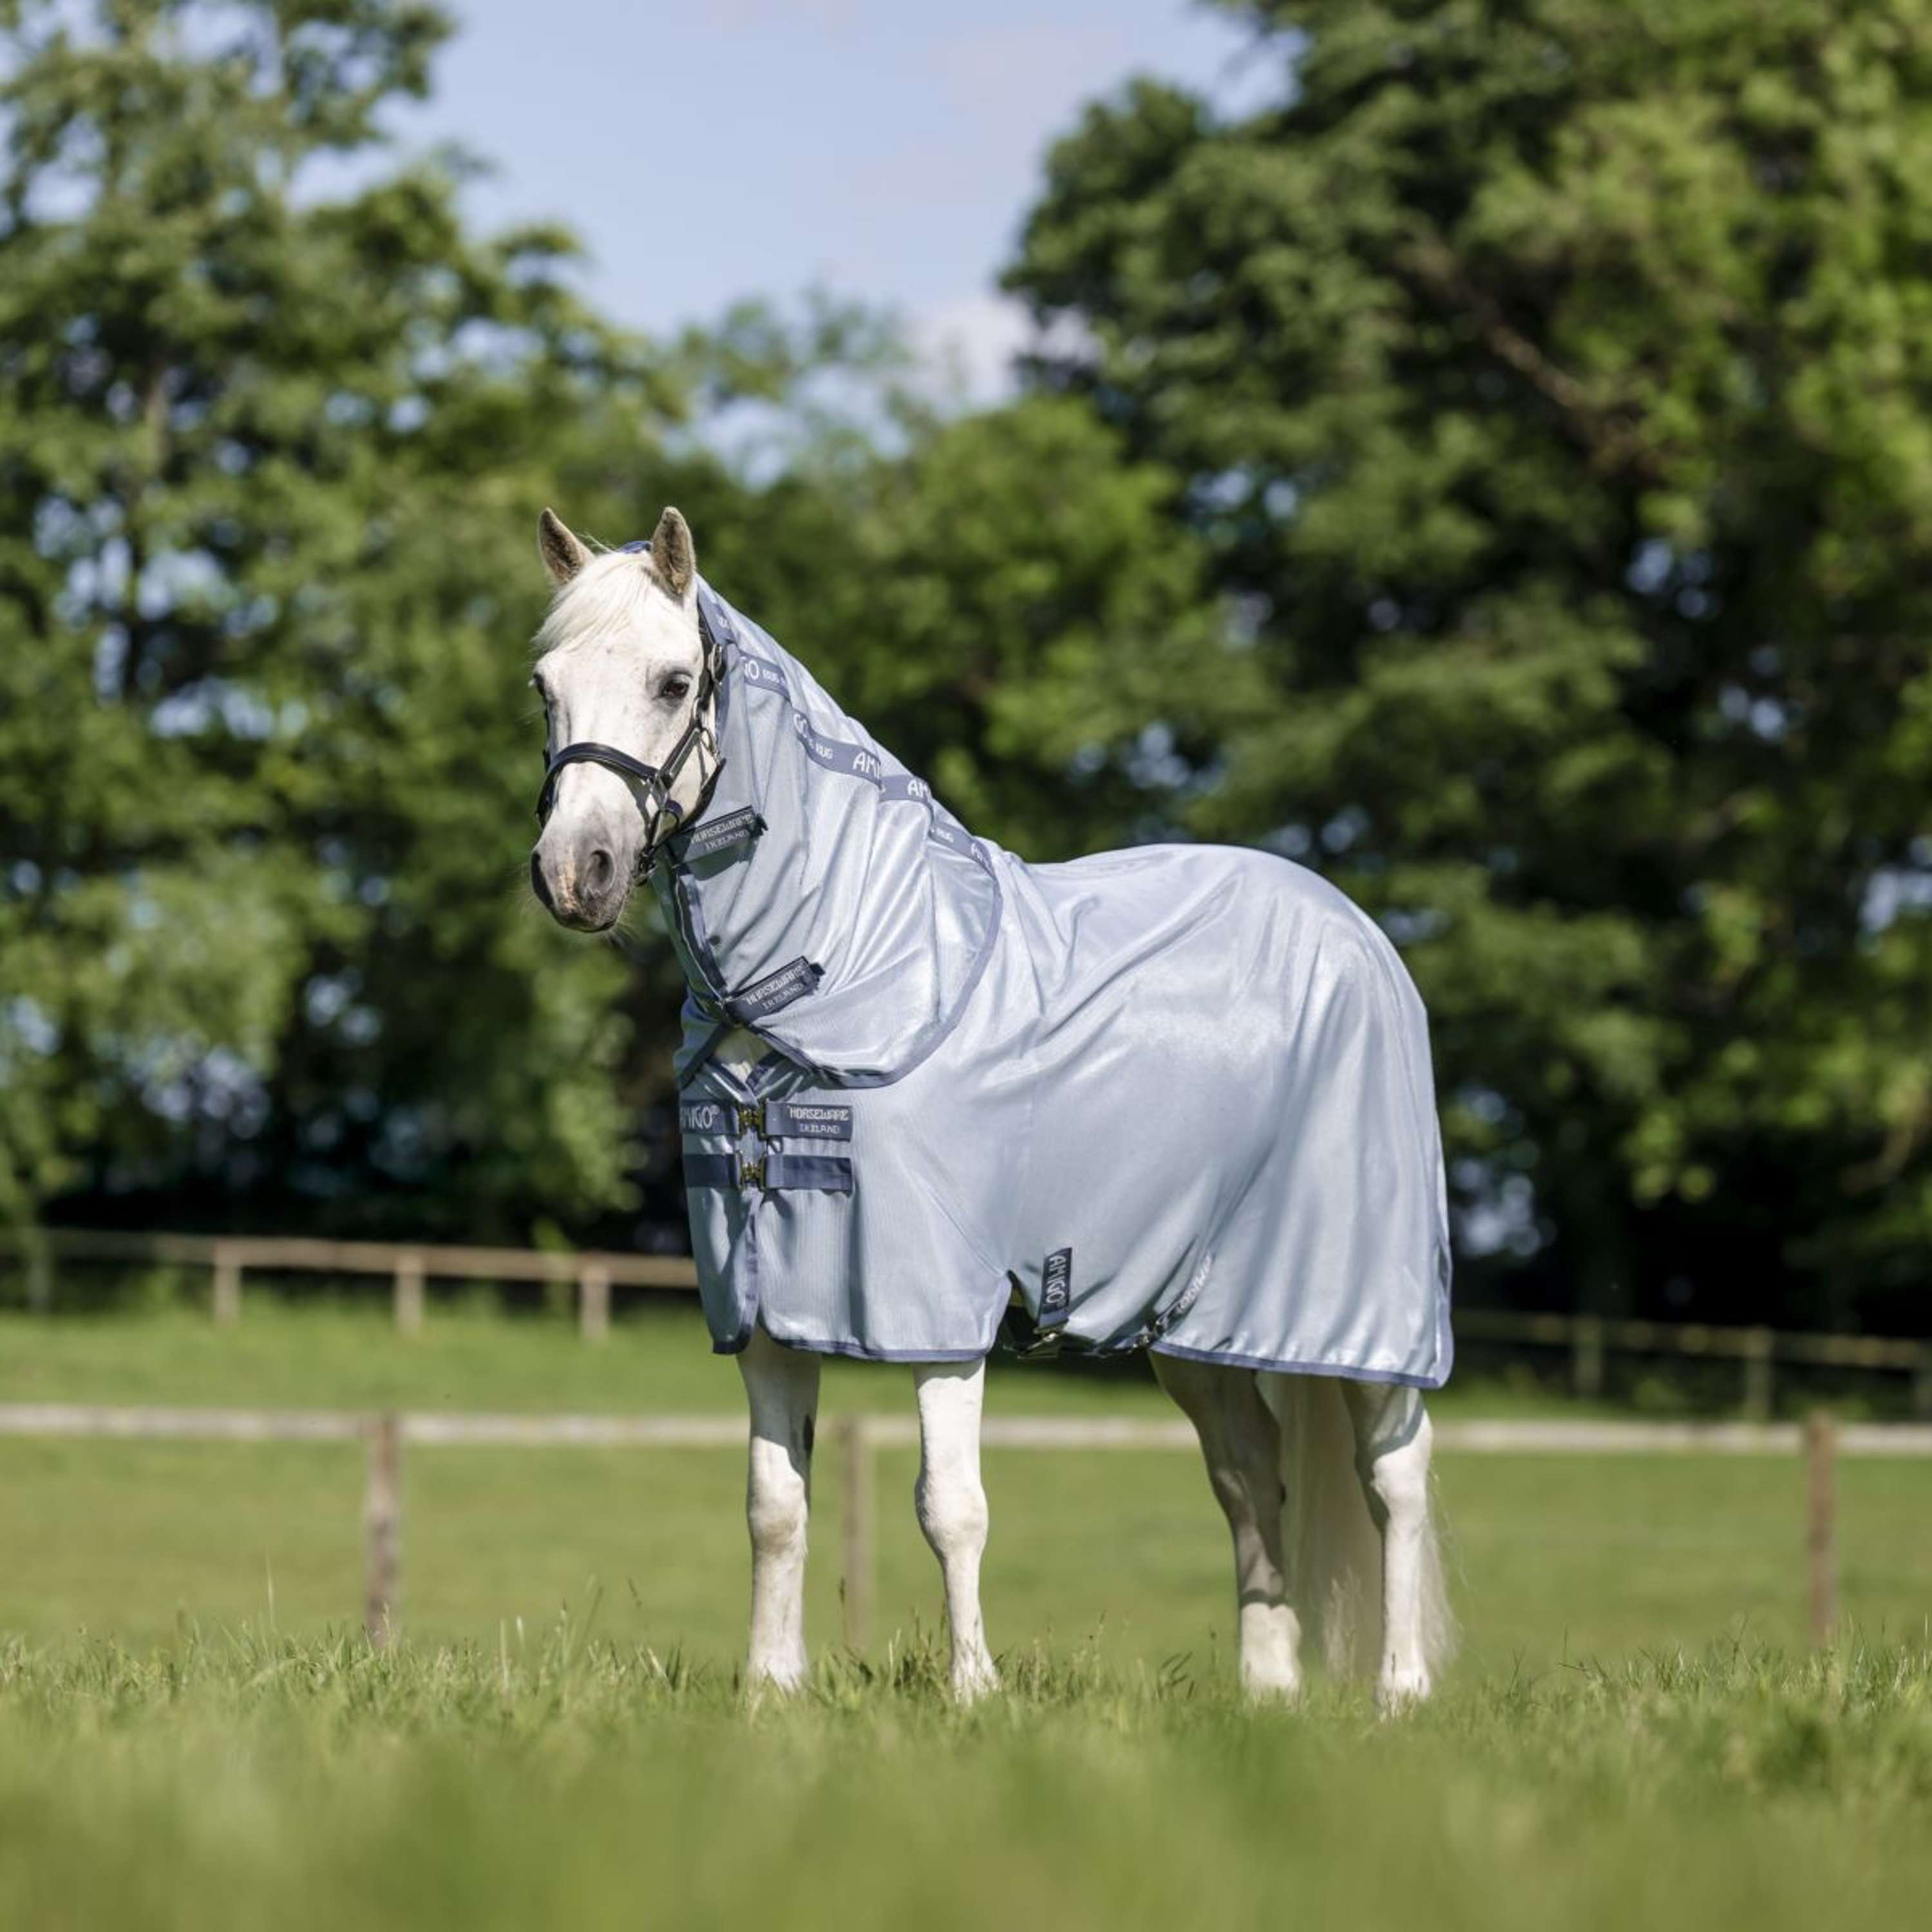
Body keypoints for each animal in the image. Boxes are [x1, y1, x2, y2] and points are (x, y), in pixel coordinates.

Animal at [525, 504, 1455, 1707]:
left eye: (675, 681)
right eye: (546, 685)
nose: (574, 873)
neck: (859, 966)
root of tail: (1360, 934)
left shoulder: (937, 1310)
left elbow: (949, 1508)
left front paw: (974, 1691)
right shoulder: (764, 1306)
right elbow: (775, 1508)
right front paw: (770, 1691)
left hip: (1366, 1307)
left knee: (1395, 1476)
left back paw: (1401, 1691)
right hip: (1199, 1323)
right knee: (1250, 1476)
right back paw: (1267, 1694)